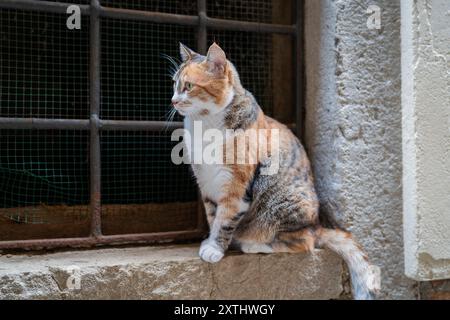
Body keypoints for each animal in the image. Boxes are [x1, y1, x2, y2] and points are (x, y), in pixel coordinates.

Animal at [171, 42, 378, 300]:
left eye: (188, 86)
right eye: (174, 84)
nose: (173, 101)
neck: (204, 125)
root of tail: (318, 225)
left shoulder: (236, 186)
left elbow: (225, 219)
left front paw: (215, 248)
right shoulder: (207, 184)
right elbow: (213, 217)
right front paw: (210, 241)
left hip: (284, 202)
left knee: (305, 243)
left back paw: (252, 244)